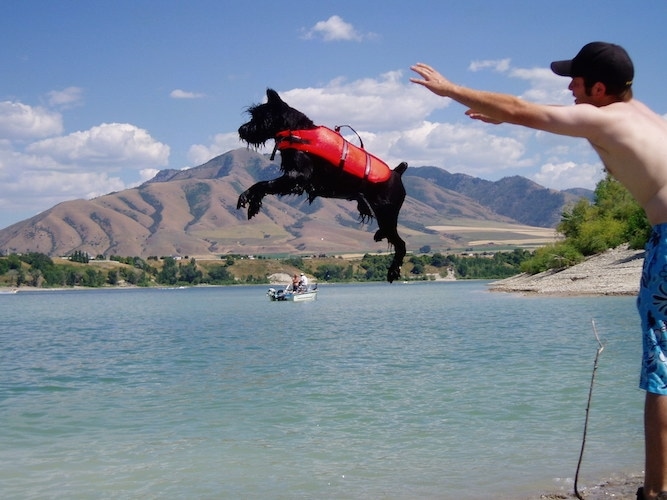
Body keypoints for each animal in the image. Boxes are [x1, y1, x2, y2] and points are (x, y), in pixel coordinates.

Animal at [239, 87, 408, 282]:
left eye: (259, 116)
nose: (241, 130)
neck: (296, 131)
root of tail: (397, 172)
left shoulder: (296, 179)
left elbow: (261, 184)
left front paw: (247, 198)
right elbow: (263, 186)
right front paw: (253, 203)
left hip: (386, 213)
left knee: (401, 244)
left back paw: (393, 270)